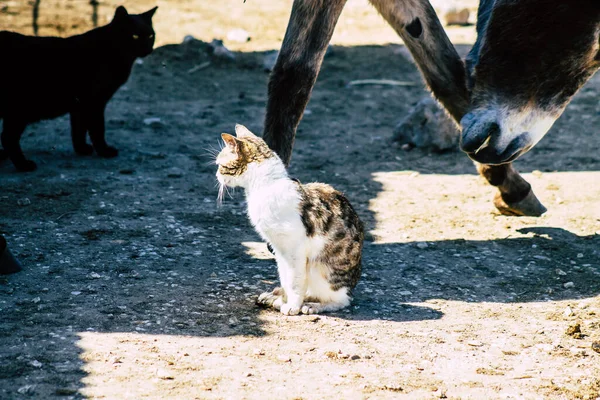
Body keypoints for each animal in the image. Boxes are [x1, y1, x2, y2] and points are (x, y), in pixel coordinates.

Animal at [0, 5, 157, 172]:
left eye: (150, 35)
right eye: (134, 36)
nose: (148, 49)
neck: (111, 51)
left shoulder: (79, 105)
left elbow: (78, 128)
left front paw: (82, 149)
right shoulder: (94, 101)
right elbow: (97, 128)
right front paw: (104, 151)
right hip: (19, 110)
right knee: (7, 137)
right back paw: (23, 165)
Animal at [218, 124, 364, 316]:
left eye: (219, 165)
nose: (216, 175)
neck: (266, 186)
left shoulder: (295, 247)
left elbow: (294, 280)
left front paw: (293, 306)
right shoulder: (279, 248)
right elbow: (285, 276)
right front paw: (284, 299)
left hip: (322, 269)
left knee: (341, 300)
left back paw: (313, 305)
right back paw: (275, 296)